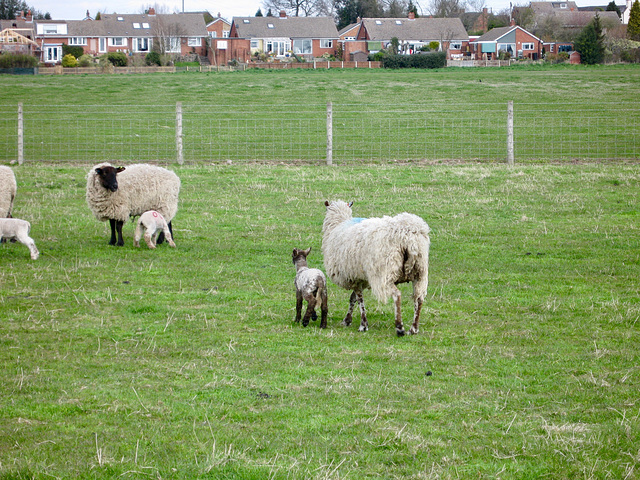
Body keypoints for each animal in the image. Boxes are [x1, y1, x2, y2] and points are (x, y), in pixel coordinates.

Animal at [322, 201, 432, 336]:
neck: (337, 224)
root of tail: (409, 237)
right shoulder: (361, 278)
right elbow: (353, 298)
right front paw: (348, 320)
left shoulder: (353, 276)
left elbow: (359, 299)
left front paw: (363, 325)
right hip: (420, 272)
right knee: (419, 298)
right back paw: (413, 328)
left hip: (385, 273)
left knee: (397, 295)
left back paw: (399, 327)